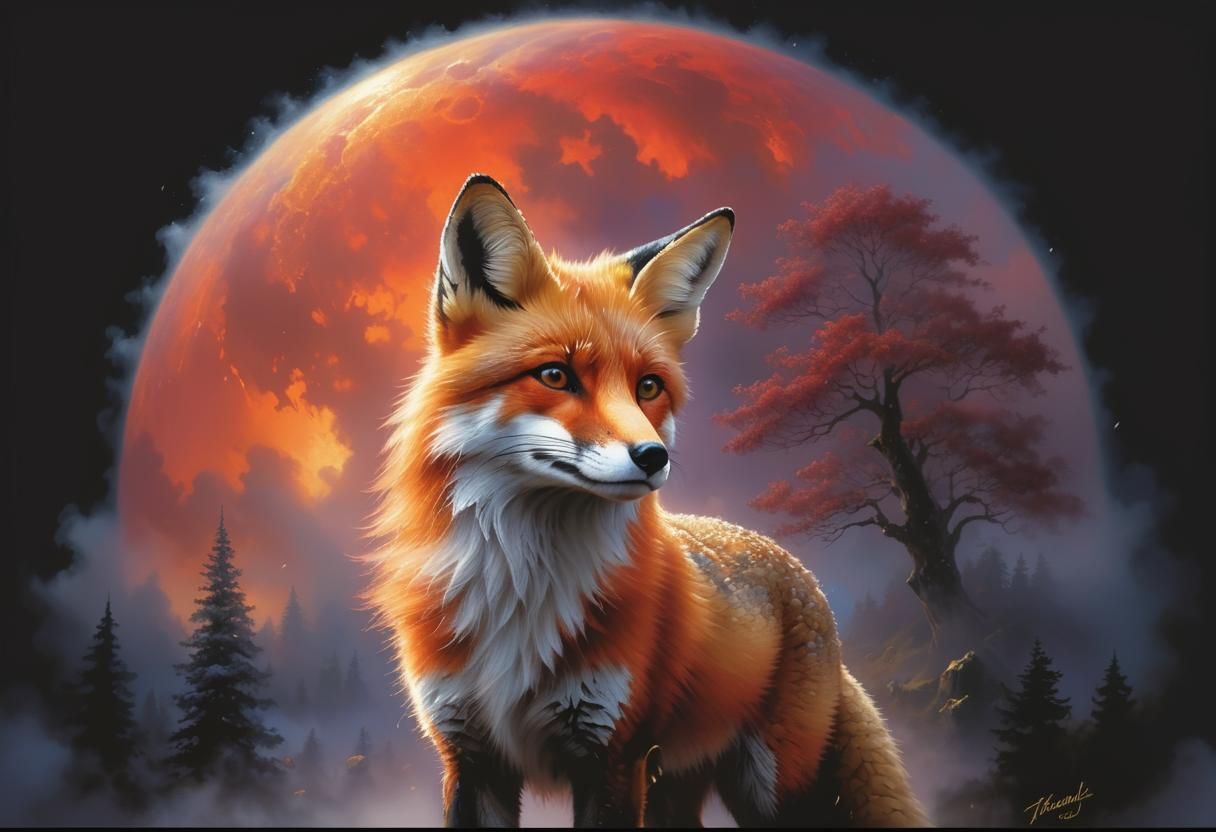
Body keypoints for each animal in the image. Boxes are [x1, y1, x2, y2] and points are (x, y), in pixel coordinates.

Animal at [362, 173, 931, 828]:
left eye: (649, 387)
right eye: (555, 375)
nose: (653, 456)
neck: (522, 589)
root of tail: (796, 570)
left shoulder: (613, 752)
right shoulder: (471, 755)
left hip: (769, 788)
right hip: (674, 787)